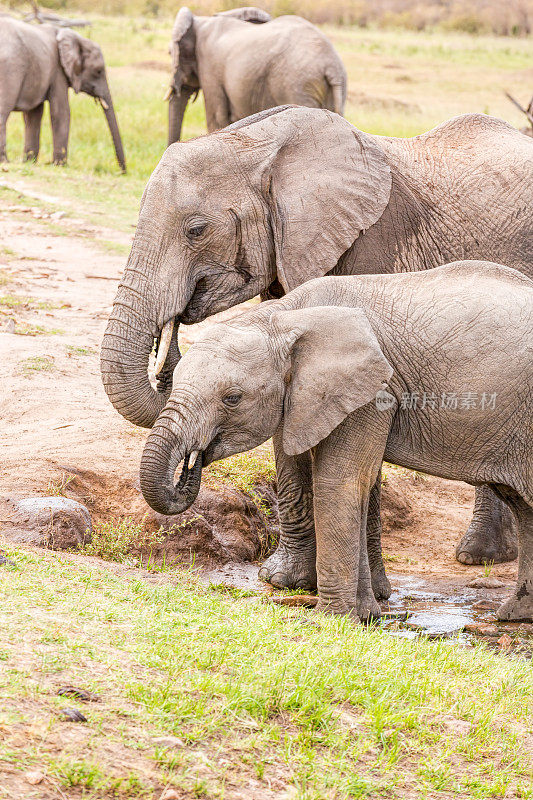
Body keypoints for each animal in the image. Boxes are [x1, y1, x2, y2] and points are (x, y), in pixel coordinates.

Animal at [0, 18, 125, 170]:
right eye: (98, 71)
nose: (122, 172)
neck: (78, 38)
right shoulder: (58, 71)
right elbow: (61, 111)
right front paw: (60, 165)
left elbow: (34, 115)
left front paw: (30, 162)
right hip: (10, 68)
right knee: (3, 111)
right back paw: (4, 161)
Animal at [101, 106, 532, 584]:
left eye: (196, 230)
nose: (169, 338)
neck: (261, 146)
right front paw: (285, 579)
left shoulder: (371, 241)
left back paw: (478, 556)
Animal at [137, 262, 532, 624]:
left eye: (232, 398)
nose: (190, 463)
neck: (283, 317)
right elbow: (358, 482)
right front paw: (366, 616)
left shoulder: (373, 392)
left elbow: (339, 480)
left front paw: (332, 620)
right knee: (523, 507)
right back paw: (514, 616)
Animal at [168, 7, 348, 145]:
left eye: (170, 53)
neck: (201, 21)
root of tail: (332, 67)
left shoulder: (209, 66)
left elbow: (216, 119)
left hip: (297, 86)